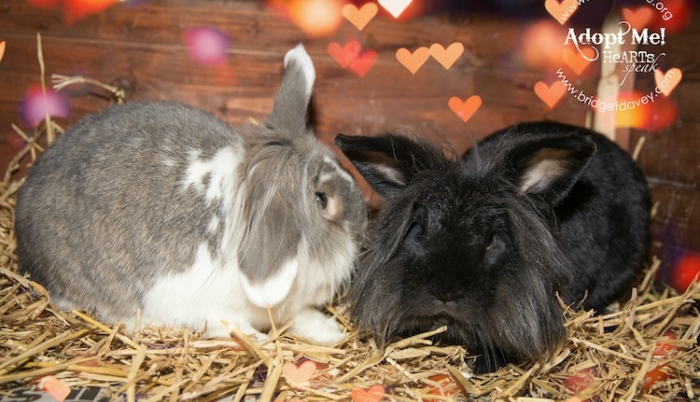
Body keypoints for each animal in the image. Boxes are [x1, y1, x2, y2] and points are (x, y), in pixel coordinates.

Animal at [15, 44, 367, 346]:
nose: (363, 225)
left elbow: (300, 316)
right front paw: (262, 342)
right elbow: (234, 327)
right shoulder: (211, 308)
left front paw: (331, 333)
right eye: (322, 200)